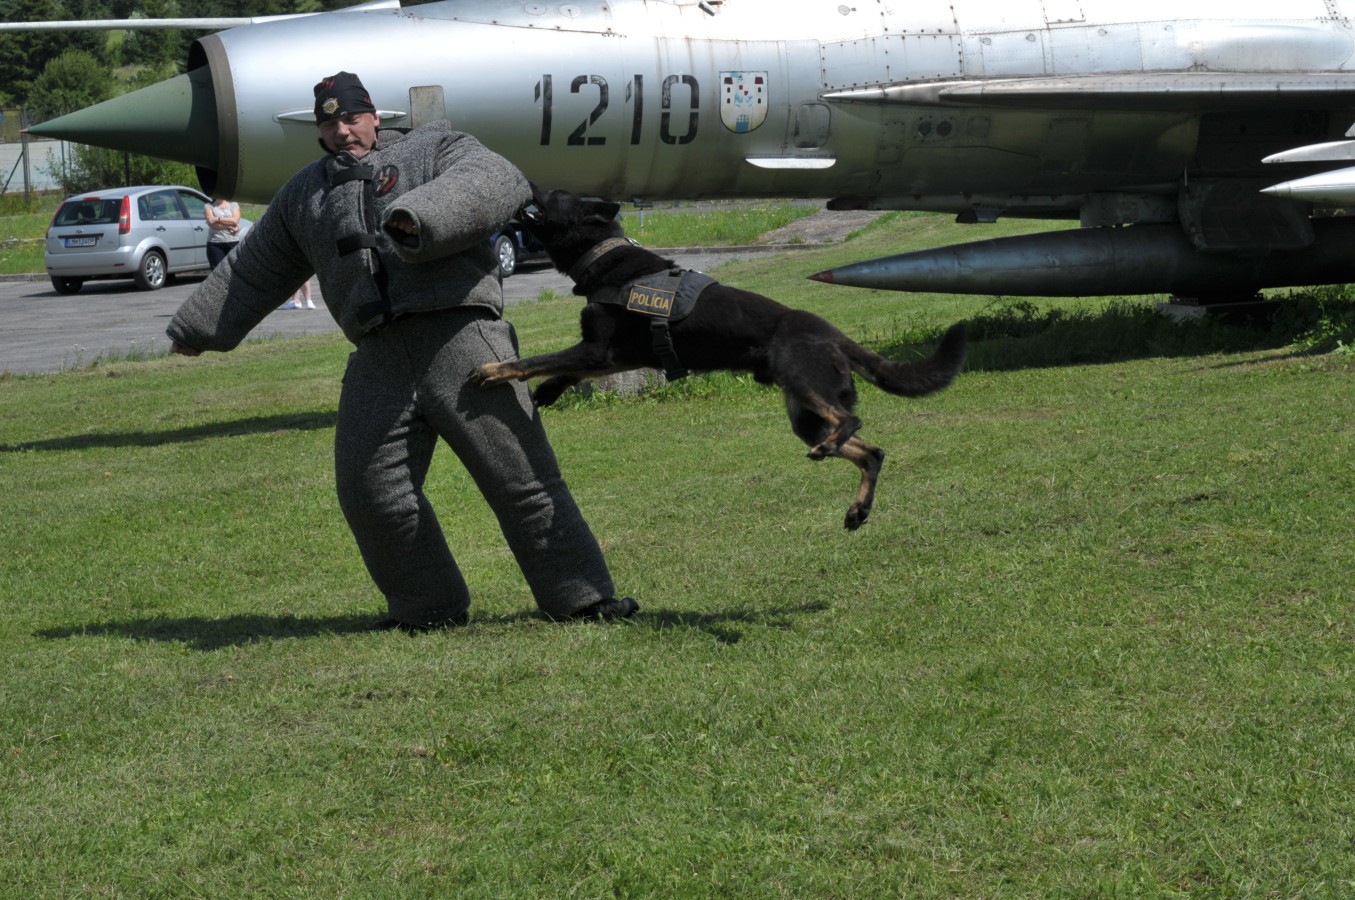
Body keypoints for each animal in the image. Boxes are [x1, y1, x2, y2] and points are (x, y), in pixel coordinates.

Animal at [468, 185, 966, 530]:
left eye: (552, 196)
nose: (527, 183)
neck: (603, 256)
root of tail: (834, 335)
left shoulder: (596, 350)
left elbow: (536, 358)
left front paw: (494, 371)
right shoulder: (611, 357)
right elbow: (561, 369)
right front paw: (548, 391)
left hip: (803, 381)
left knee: (851, 423)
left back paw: (835, 454)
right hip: (804, 417)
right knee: (872, 452)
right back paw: (857, 506)